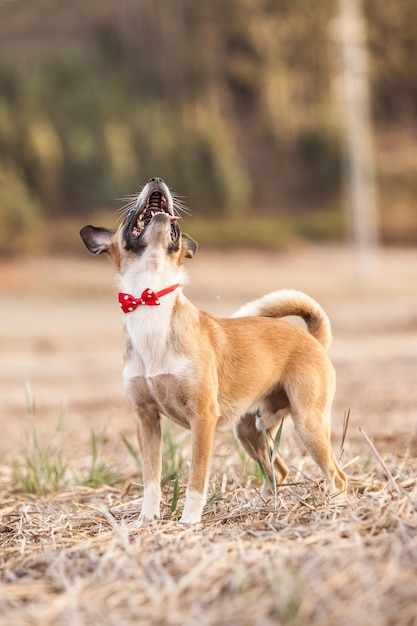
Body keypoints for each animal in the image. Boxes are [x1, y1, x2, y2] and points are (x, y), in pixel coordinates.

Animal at [79, 174, 346, 520]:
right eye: (128, 217)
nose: (156, 178)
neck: (151, 301)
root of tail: (314, 339)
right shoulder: (146, 421)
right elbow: (151, 478)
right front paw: (147, 519)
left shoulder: (202, 419)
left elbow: (196, 478)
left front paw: (189, 521)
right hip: (250, 431)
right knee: (279, 470)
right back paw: (262, 506)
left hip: (308, 423)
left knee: (336, 475)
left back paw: (336, 506)